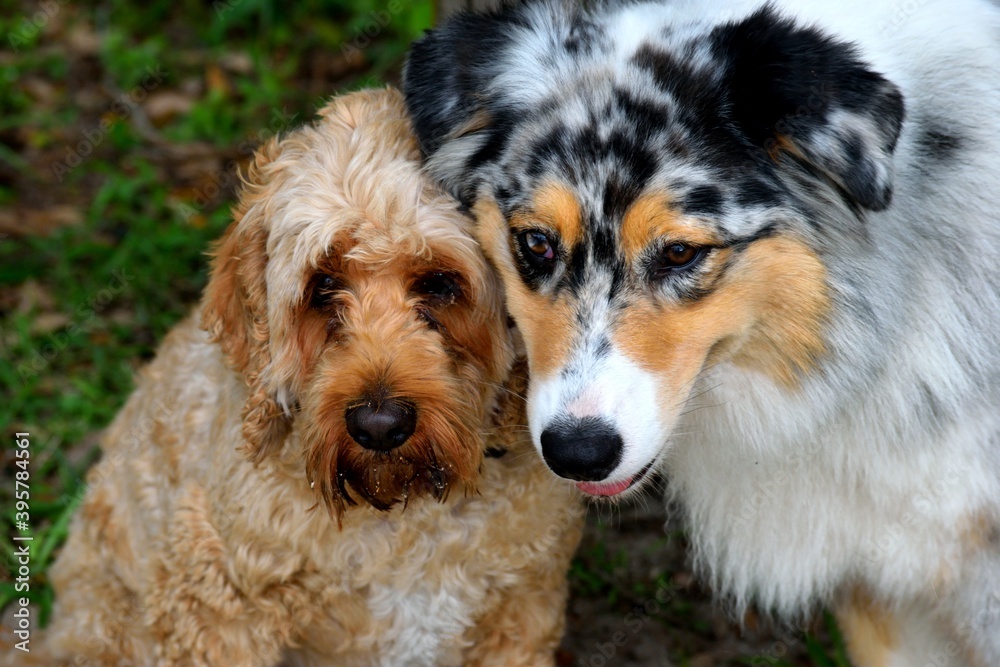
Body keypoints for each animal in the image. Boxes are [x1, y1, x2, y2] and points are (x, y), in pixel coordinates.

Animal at [13, 90, 580, 667]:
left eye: (441, 283)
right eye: (323, 284)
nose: (379, 426)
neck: (406, 516)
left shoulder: (521, 606)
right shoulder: (215, 603)